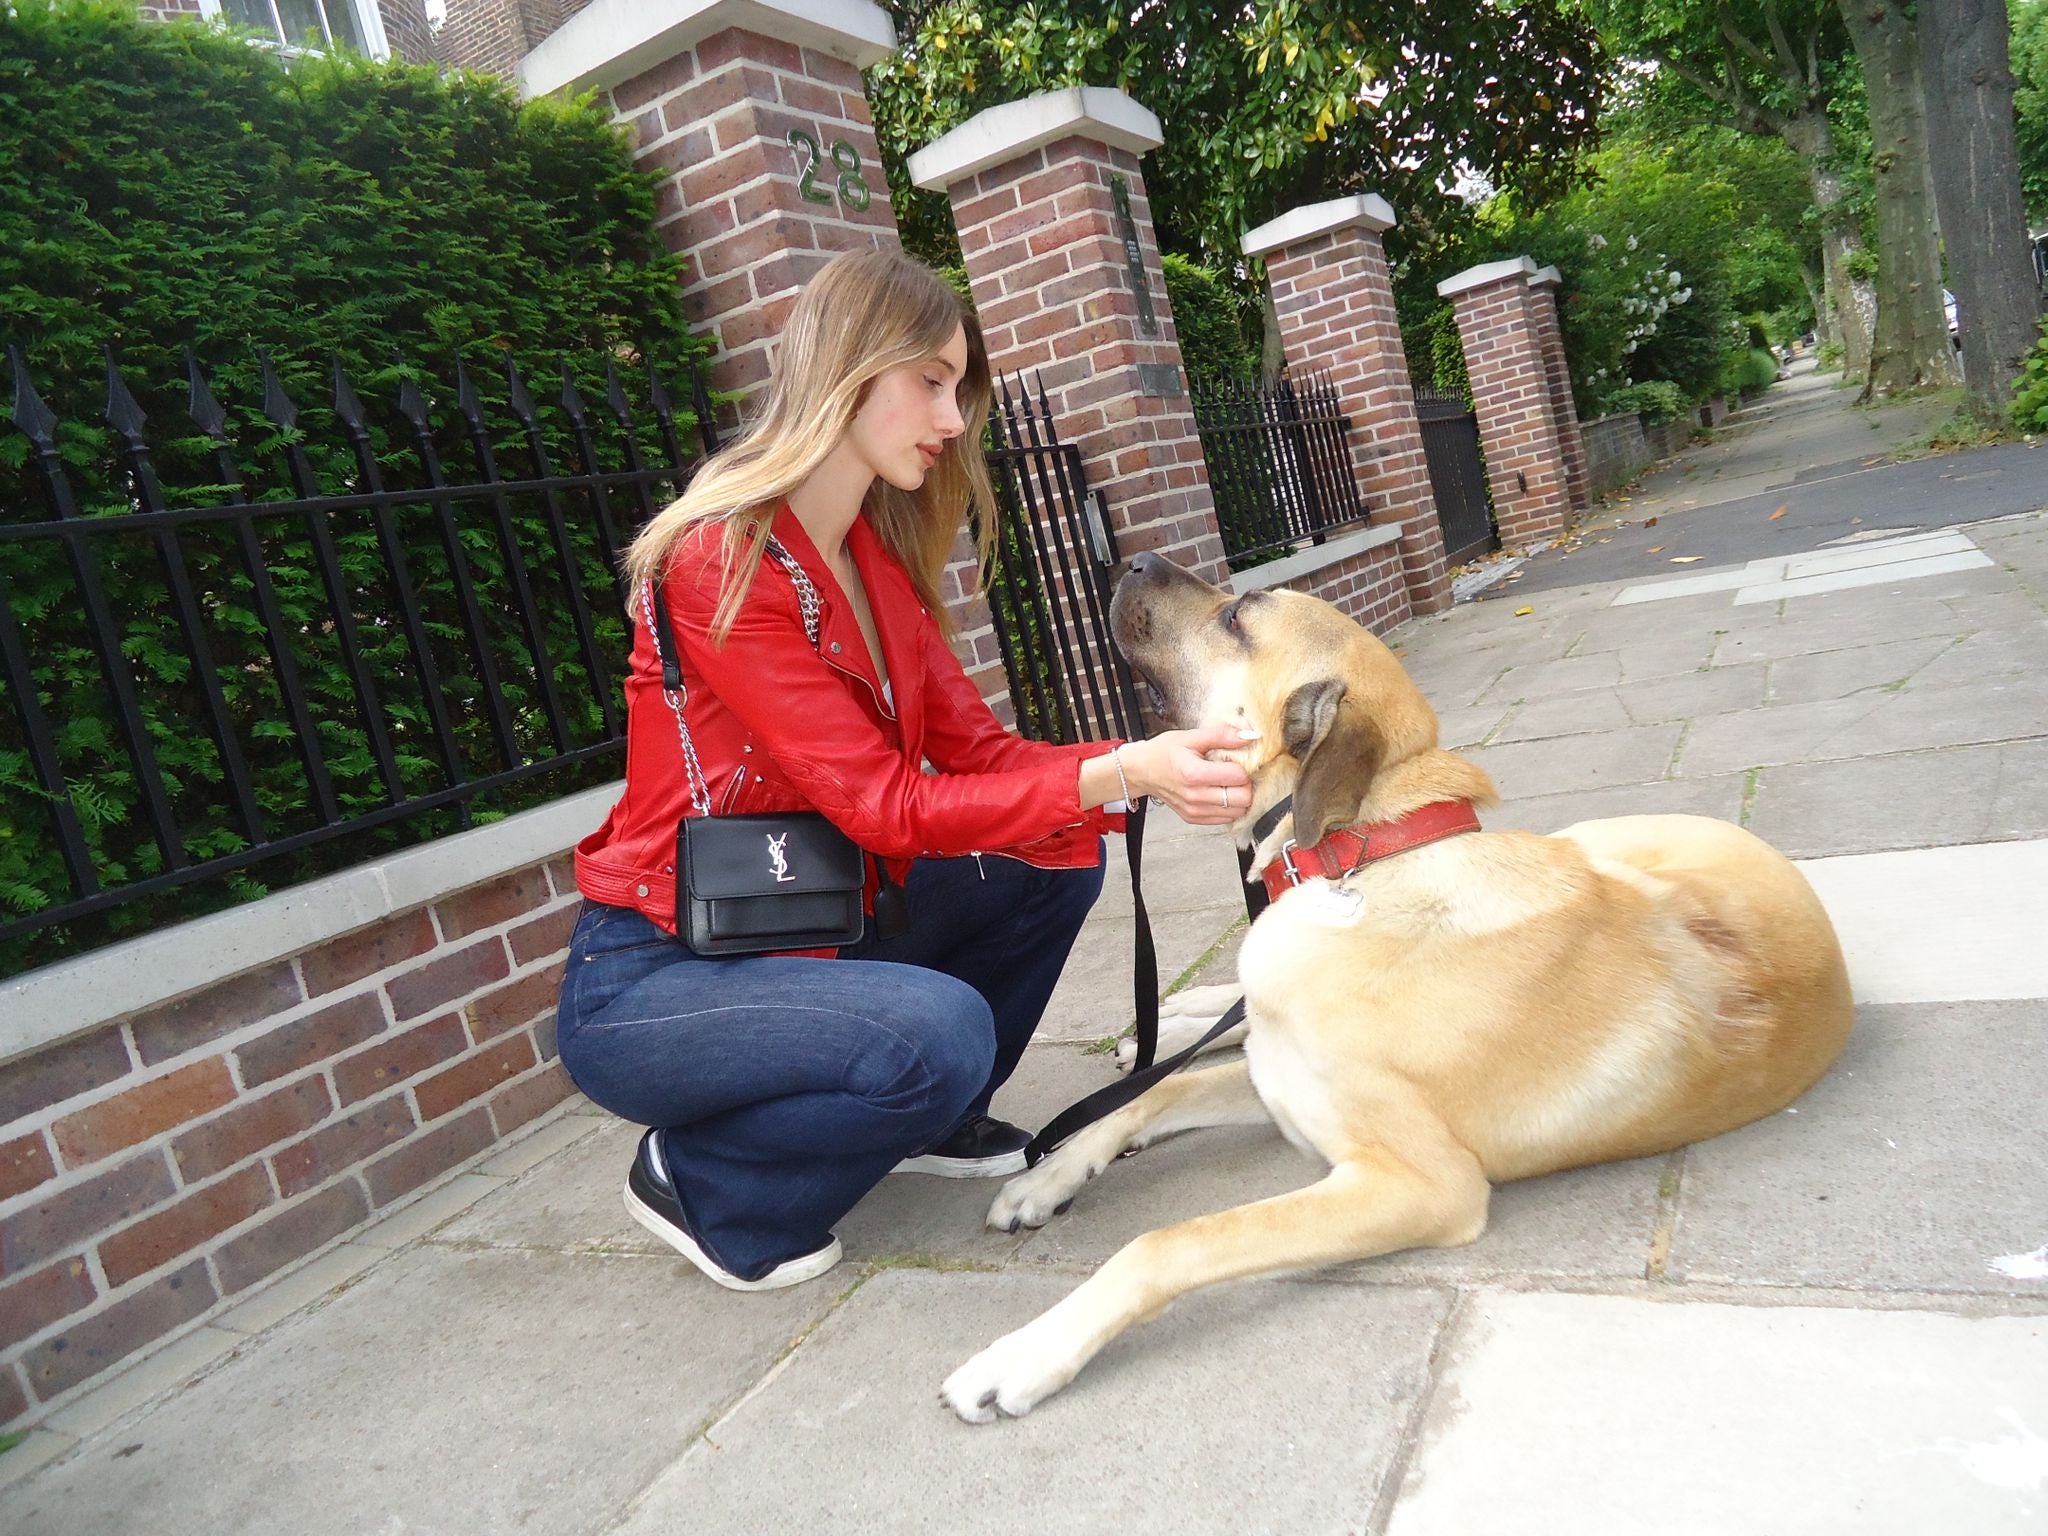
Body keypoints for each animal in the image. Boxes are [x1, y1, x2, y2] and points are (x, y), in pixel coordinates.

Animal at [942, 557, 1859, 1433]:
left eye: (1237, 616)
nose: (1127, 564)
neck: (1361, 854)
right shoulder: (1280, 1081)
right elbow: (1152, 1097)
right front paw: (1046, 1178)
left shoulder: (1418, 1183)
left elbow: (1173, 1239)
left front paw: (1024, 1355)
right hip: (1591, 842)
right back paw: (1161, 1022)